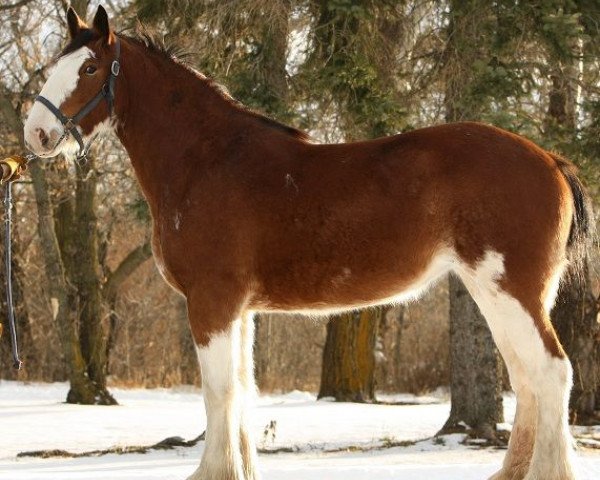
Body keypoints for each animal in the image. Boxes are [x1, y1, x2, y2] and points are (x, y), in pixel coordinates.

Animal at [22, 4, 592, 480]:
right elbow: (241, 389)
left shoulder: (212, 301)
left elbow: (219, 391)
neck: (208, 161)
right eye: (54, 63)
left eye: (90, 69)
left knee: (551, 372)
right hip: (498, 294)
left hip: (510, 290)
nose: (36, 134)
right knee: (526, 377)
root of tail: (551, 160)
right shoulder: (238, 308)